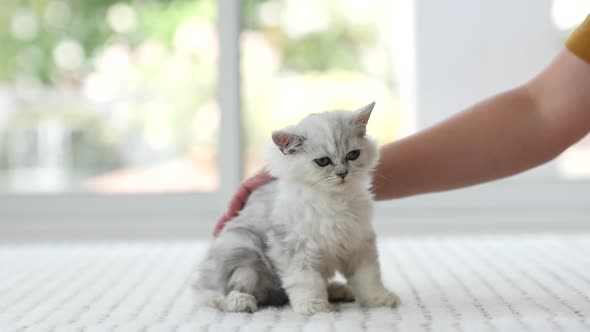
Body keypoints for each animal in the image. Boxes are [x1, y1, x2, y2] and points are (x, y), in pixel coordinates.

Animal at [194, 102, 402, 316]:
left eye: (353, 155)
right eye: (323, 161)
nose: (342, 173)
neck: (334, 200)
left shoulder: (359, 244)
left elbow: (369, 279)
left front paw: (379, 300)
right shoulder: (295, 247)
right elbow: (306, 282)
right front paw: (315, 307)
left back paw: (338, 290)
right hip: (243, 253)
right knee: (217, 295)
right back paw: (240, 301)